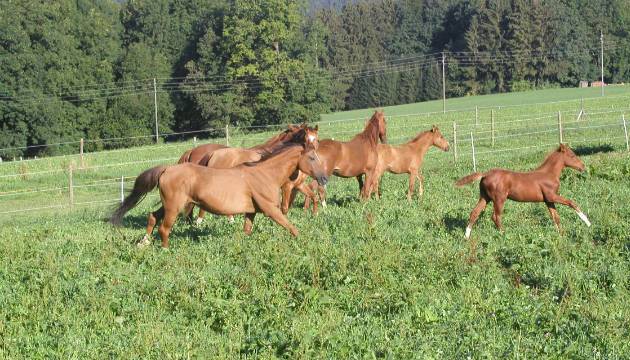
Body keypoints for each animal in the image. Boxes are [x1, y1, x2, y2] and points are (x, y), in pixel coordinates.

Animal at [110, 141, 328, 248]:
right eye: (311, 157)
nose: (324, 178)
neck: (264, 174)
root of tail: (167, 169)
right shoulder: (270, 209)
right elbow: (291, 227)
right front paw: (303, 241)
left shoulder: (251, 212)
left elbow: (246, 231)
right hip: (174, 207)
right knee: (164, 228)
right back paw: (165, 250)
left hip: (168, 205)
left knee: (153, 217)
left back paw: (144, 243)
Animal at [454, 143, 592, 239]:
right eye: (572, 155)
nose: (583, 167)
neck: (549, 173)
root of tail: (485, 174)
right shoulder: (552, 196)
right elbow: (572, 203)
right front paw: (588, 222)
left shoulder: (548, 200)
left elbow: (556, 217)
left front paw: (562, 234)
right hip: (499, 199)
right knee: (496, 216)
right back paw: (504, 234)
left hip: (485, 197)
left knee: (474, 213)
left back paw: (466, 237)